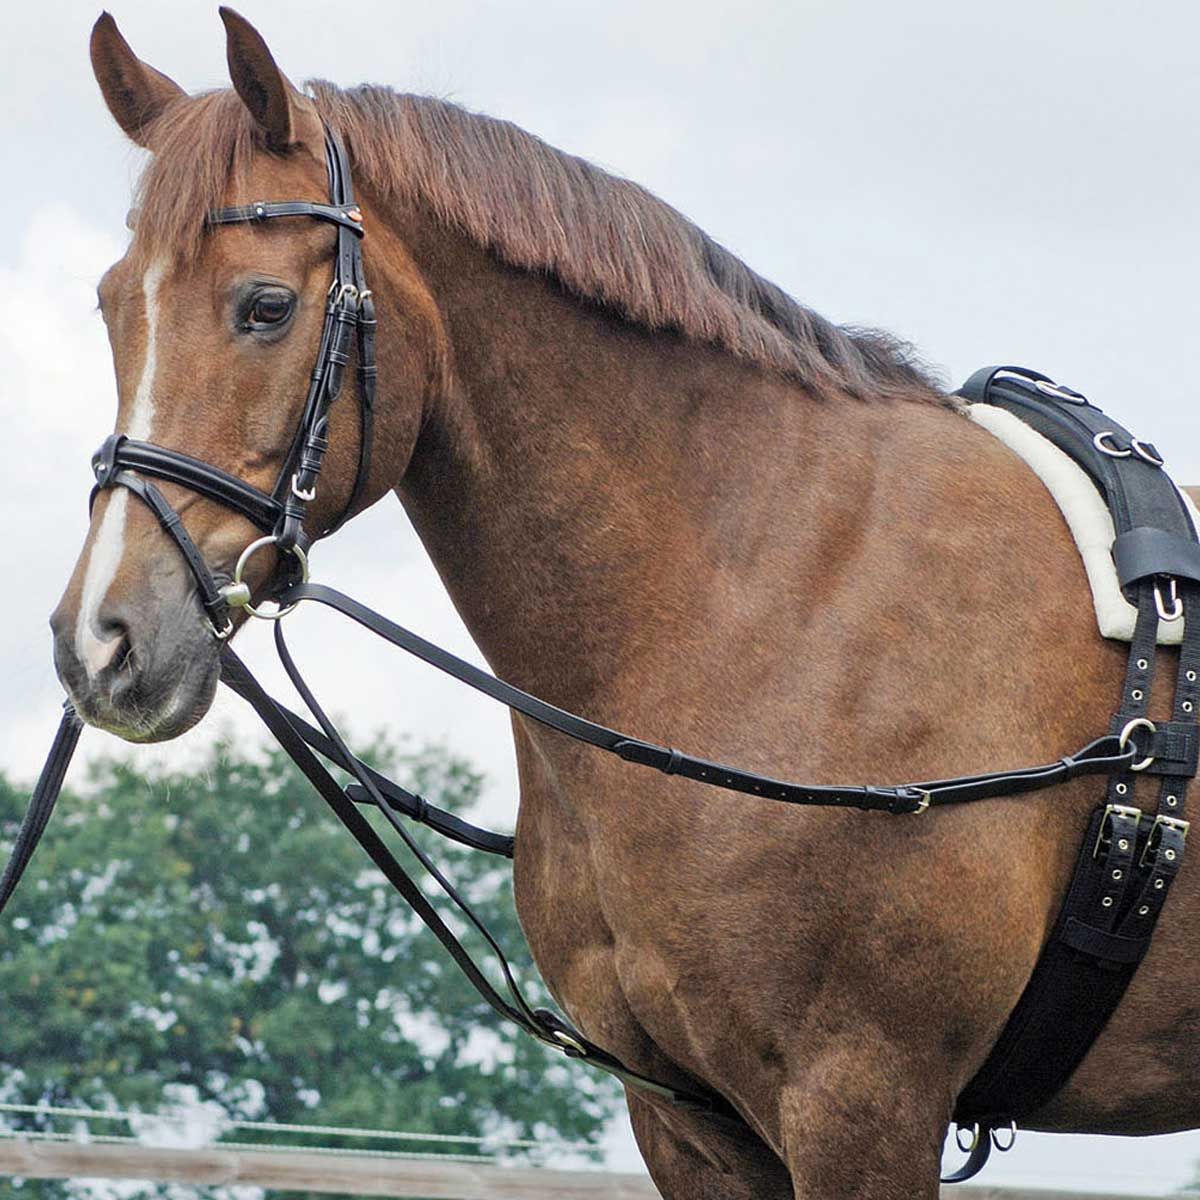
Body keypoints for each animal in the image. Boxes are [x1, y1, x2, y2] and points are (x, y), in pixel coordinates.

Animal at [48, 9, 1200, 1198]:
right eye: (110, 304)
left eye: (265, 306)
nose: (104, 641)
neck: (759, 594)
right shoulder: (688, 1120)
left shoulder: (864, 1099)